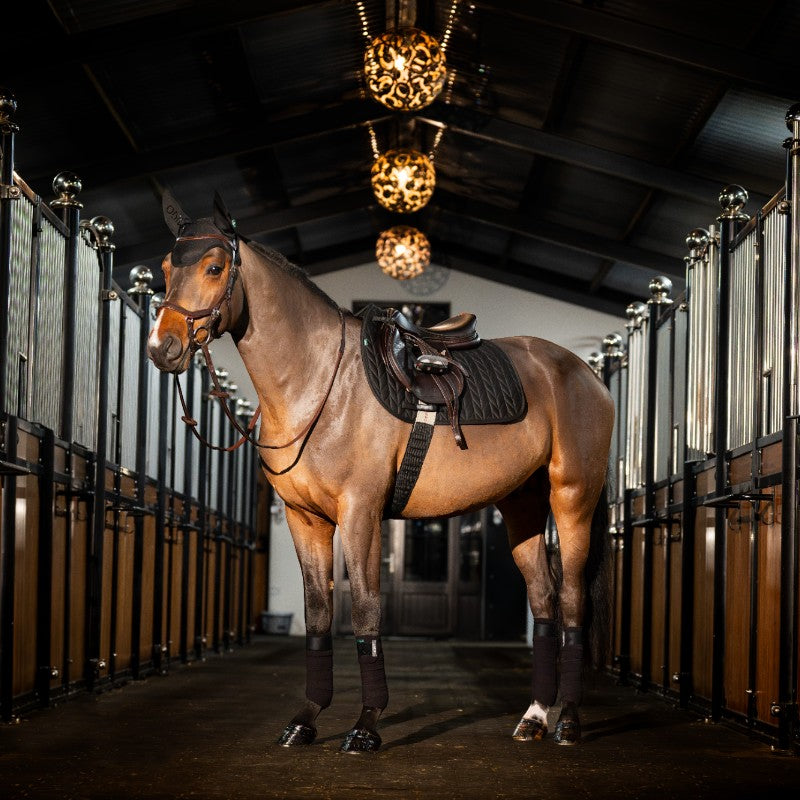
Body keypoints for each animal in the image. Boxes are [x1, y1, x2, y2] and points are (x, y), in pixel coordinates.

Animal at [146, 191, 614, 753]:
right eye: (167, 266)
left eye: (214, 267)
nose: (162, 348)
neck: (319, 384)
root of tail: (585, 373)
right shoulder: (305, 520)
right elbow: (320, 614)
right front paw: (305, 720)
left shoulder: (361, 515)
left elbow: (367, 612)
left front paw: (366, 726)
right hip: (522, 509)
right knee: (544, 603)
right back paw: (535, 718)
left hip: (572, 503)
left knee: (571, 604)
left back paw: (569, 723)